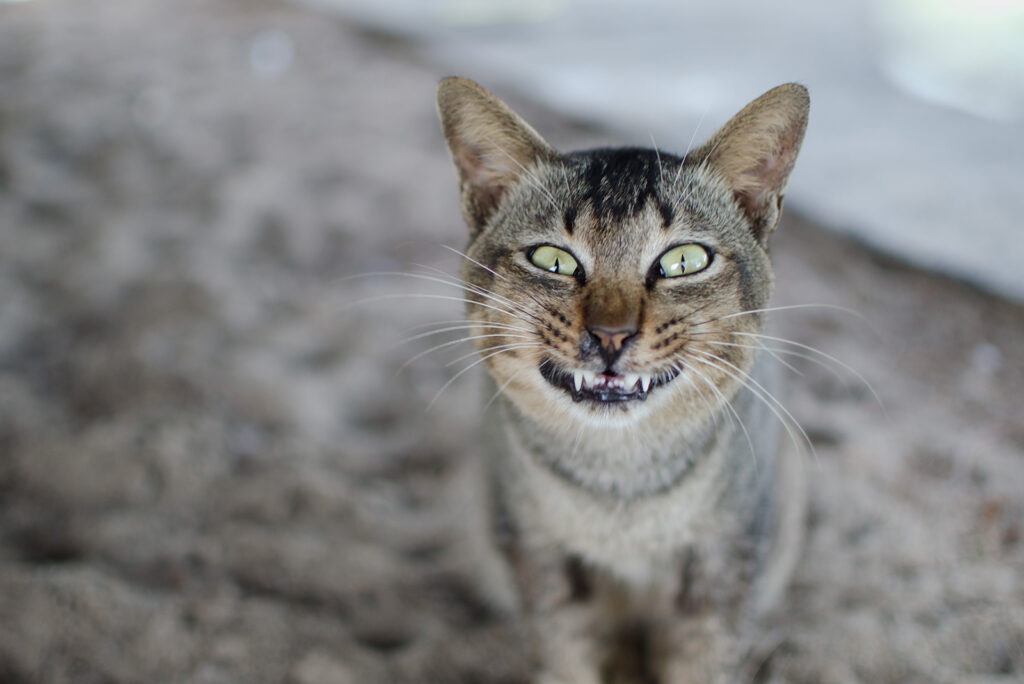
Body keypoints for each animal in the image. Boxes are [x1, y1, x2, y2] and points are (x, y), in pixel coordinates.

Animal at [436, 77, 811, 679]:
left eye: (684, 261)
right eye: (553, 260)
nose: (611, 335)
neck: (622, 488)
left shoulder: (726, 559)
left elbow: (708, 658)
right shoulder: (539, 556)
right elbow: (566, 655)